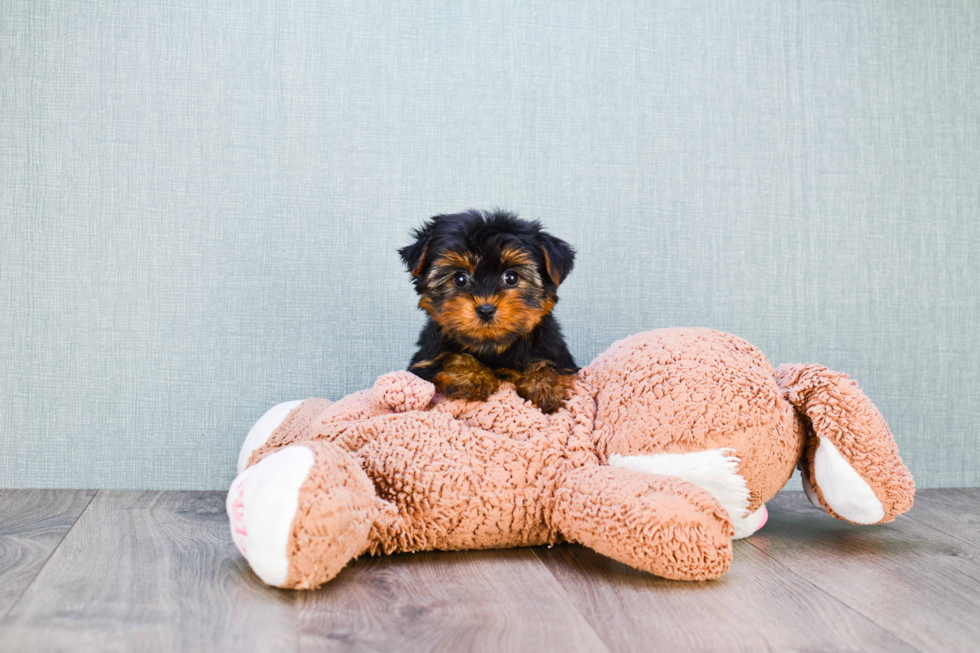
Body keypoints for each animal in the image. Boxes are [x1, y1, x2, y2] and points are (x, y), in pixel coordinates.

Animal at [400, 209, 580, 412]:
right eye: (460, 279)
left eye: (511, 277)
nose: (485, 310)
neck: (492, 346)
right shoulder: (423, 363)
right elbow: (450, 355)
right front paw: (471, 376)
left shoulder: (559, 356)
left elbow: (553, 366)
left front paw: (544, 385)